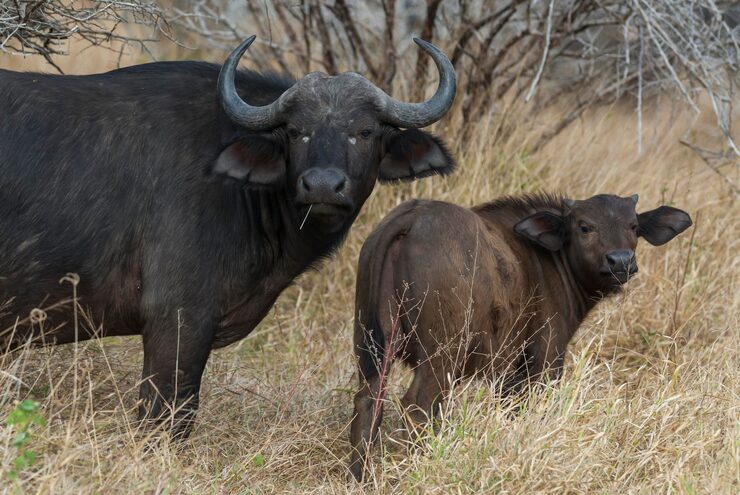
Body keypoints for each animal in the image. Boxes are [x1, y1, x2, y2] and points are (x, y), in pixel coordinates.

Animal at [349, 193, 691, 480]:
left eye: (633, 226)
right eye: (584, 227)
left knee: (368, 401)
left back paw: (360, 477)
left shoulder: (508, 376)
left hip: (370, 346)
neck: (549, 259)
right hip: (441, 354)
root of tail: (413, 217)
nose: (621, 261)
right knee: (417, 406)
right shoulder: (545, 359)